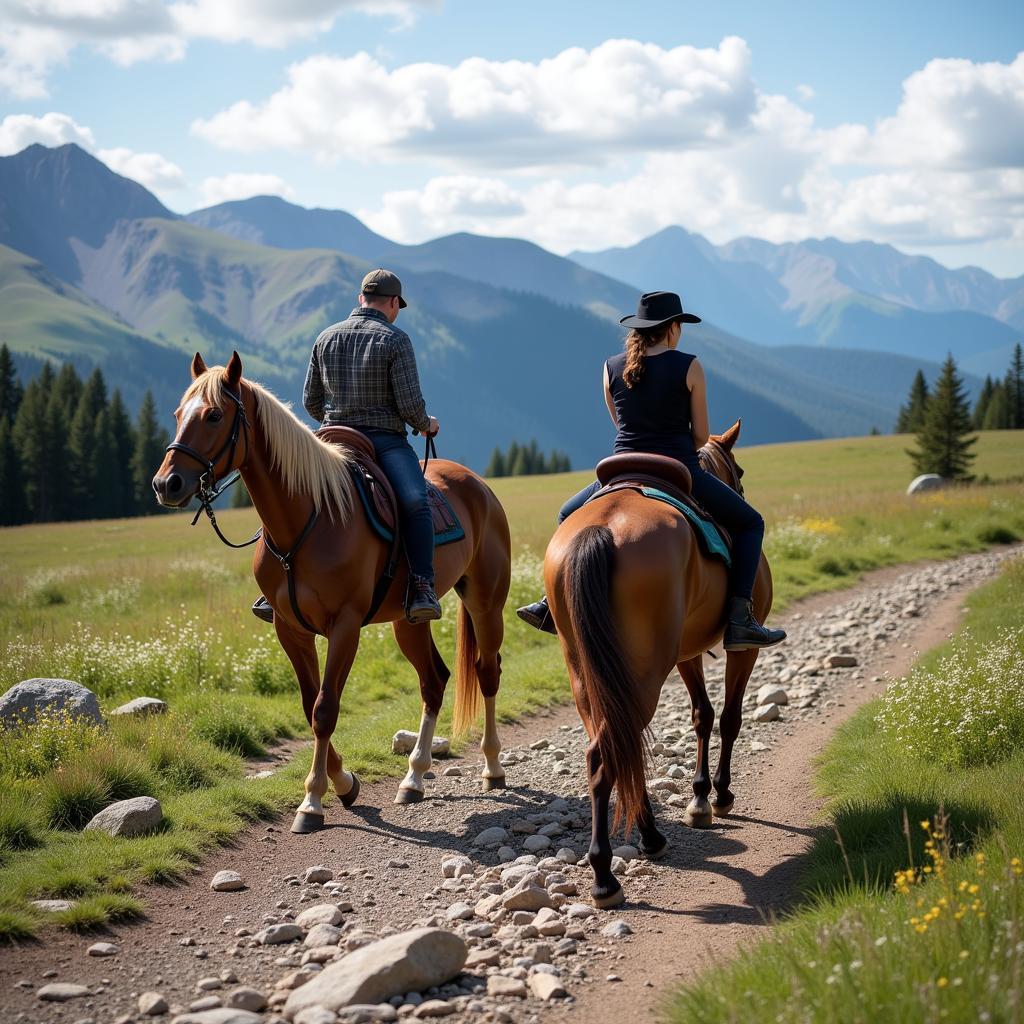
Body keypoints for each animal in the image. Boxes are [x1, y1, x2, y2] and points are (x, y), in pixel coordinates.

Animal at [151, 352, 512, 831]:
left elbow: (325, 709)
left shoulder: (345, 627)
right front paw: (344, 783)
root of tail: (478, 485)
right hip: (408, 622)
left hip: (486, 602)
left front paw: (313, 801)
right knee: (433, 682)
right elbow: (310, 706)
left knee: (487, 672)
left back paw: (492, 767)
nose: (166, 484)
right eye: (177, 414)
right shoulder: (290, 629)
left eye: (213, 415)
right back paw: (414, 778)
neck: (307, 517)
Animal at [544, 419, 774, 909]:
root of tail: (602, 531)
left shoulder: (686, 652)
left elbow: (702, 715)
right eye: (740, 469)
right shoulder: (743, 648)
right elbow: (730, 717)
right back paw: (607, 875)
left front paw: (700, 799)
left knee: (610, 748)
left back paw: (644, 840)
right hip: (644, 670)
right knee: (613, 751)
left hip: (587, 672)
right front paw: (720, 795)